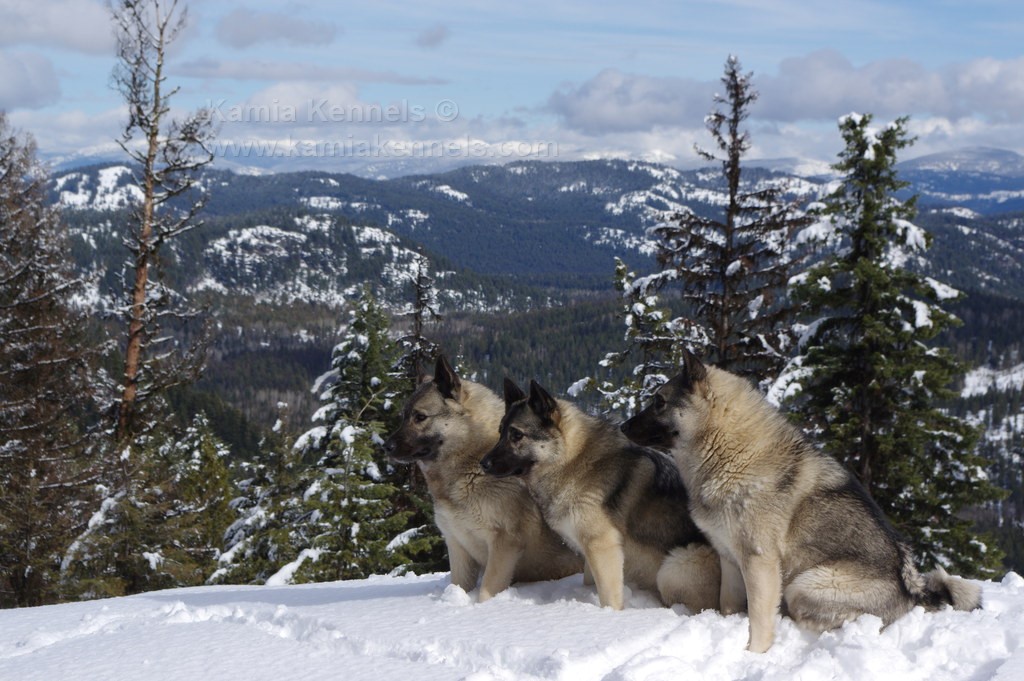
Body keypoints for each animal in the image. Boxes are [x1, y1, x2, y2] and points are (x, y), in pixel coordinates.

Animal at [380, 356, 581, 602]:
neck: (472, 464)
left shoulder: (504, 545)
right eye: (403, 417)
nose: (386, 447)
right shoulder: (458, 548)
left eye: (420, 417)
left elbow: (486, 591)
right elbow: (459, 586)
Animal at [479, 376, 720, 610]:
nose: (483, 463)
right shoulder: (590, 552)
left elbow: (609, 596)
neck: (572, 460)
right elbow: (589, 581)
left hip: (676, 564)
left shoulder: (602, 546)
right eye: (500, 432)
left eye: (517, 435)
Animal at [618, 352, 978, 651]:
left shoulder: (759, 562)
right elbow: (729, 604)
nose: (621, 426)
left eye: (659, 402)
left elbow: (759, 619)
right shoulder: (730, 559)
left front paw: (754, 654)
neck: (730, 451)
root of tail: (910, 591)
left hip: (807, 584)